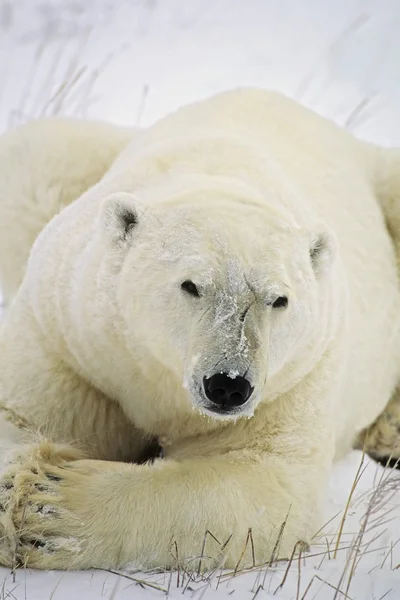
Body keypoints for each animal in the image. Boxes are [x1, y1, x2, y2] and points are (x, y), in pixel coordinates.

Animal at [0, 89, 400, 572]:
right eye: (191, 285)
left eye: (279, 299)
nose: (228, 385)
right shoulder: (68, 337)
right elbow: (24, 416)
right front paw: (20, 491)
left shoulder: (297, 377)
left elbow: (259, 482)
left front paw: (48, 501)